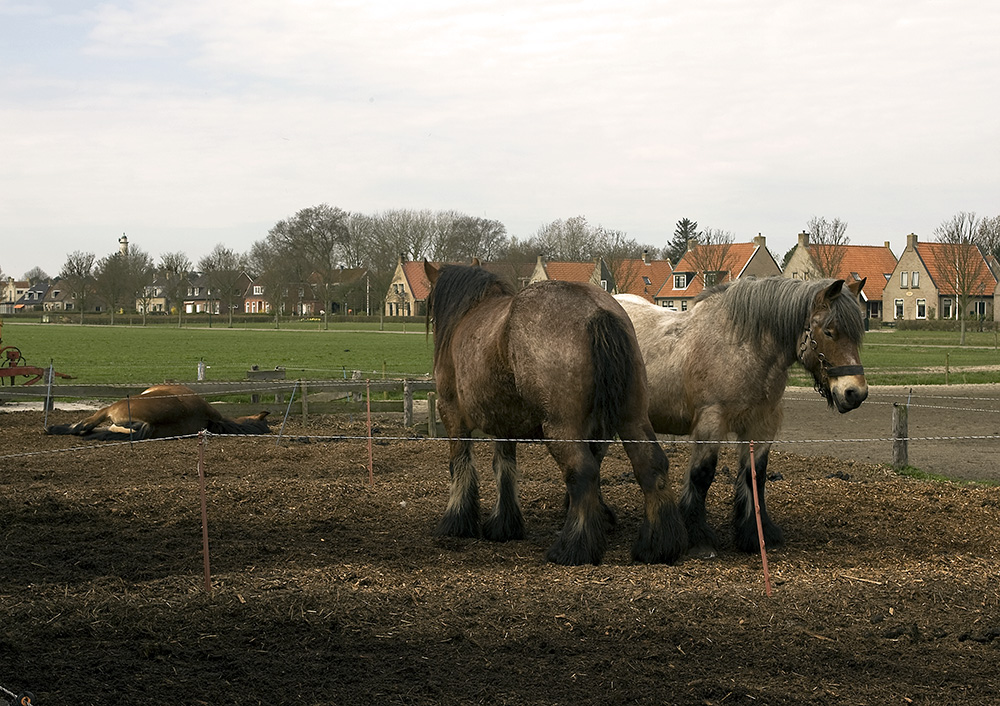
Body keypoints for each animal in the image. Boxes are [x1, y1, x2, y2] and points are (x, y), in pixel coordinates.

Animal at [422, 262, 688, 564]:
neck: (469, 314)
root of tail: (597, 310)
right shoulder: (504, 423)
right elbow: (504, 468)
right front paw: (504, 525)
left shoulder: (452, 414)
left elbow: (460, 464)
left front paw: (456, 521)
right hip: (632, 418)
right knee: (650, 465)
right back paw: (658, 545)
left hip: (561, 428)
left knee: (582, 472)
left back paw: (573, 547)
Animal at [616, 276, 868, 556]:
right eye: (828, 331)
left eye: (857, 333)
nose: (855, 393)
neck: (741, 348)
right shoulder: (711, 422)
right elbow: (702, 475)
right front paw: (699, 538)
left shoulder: (760, 426)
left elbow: (755, 475)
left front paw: (756, 534)